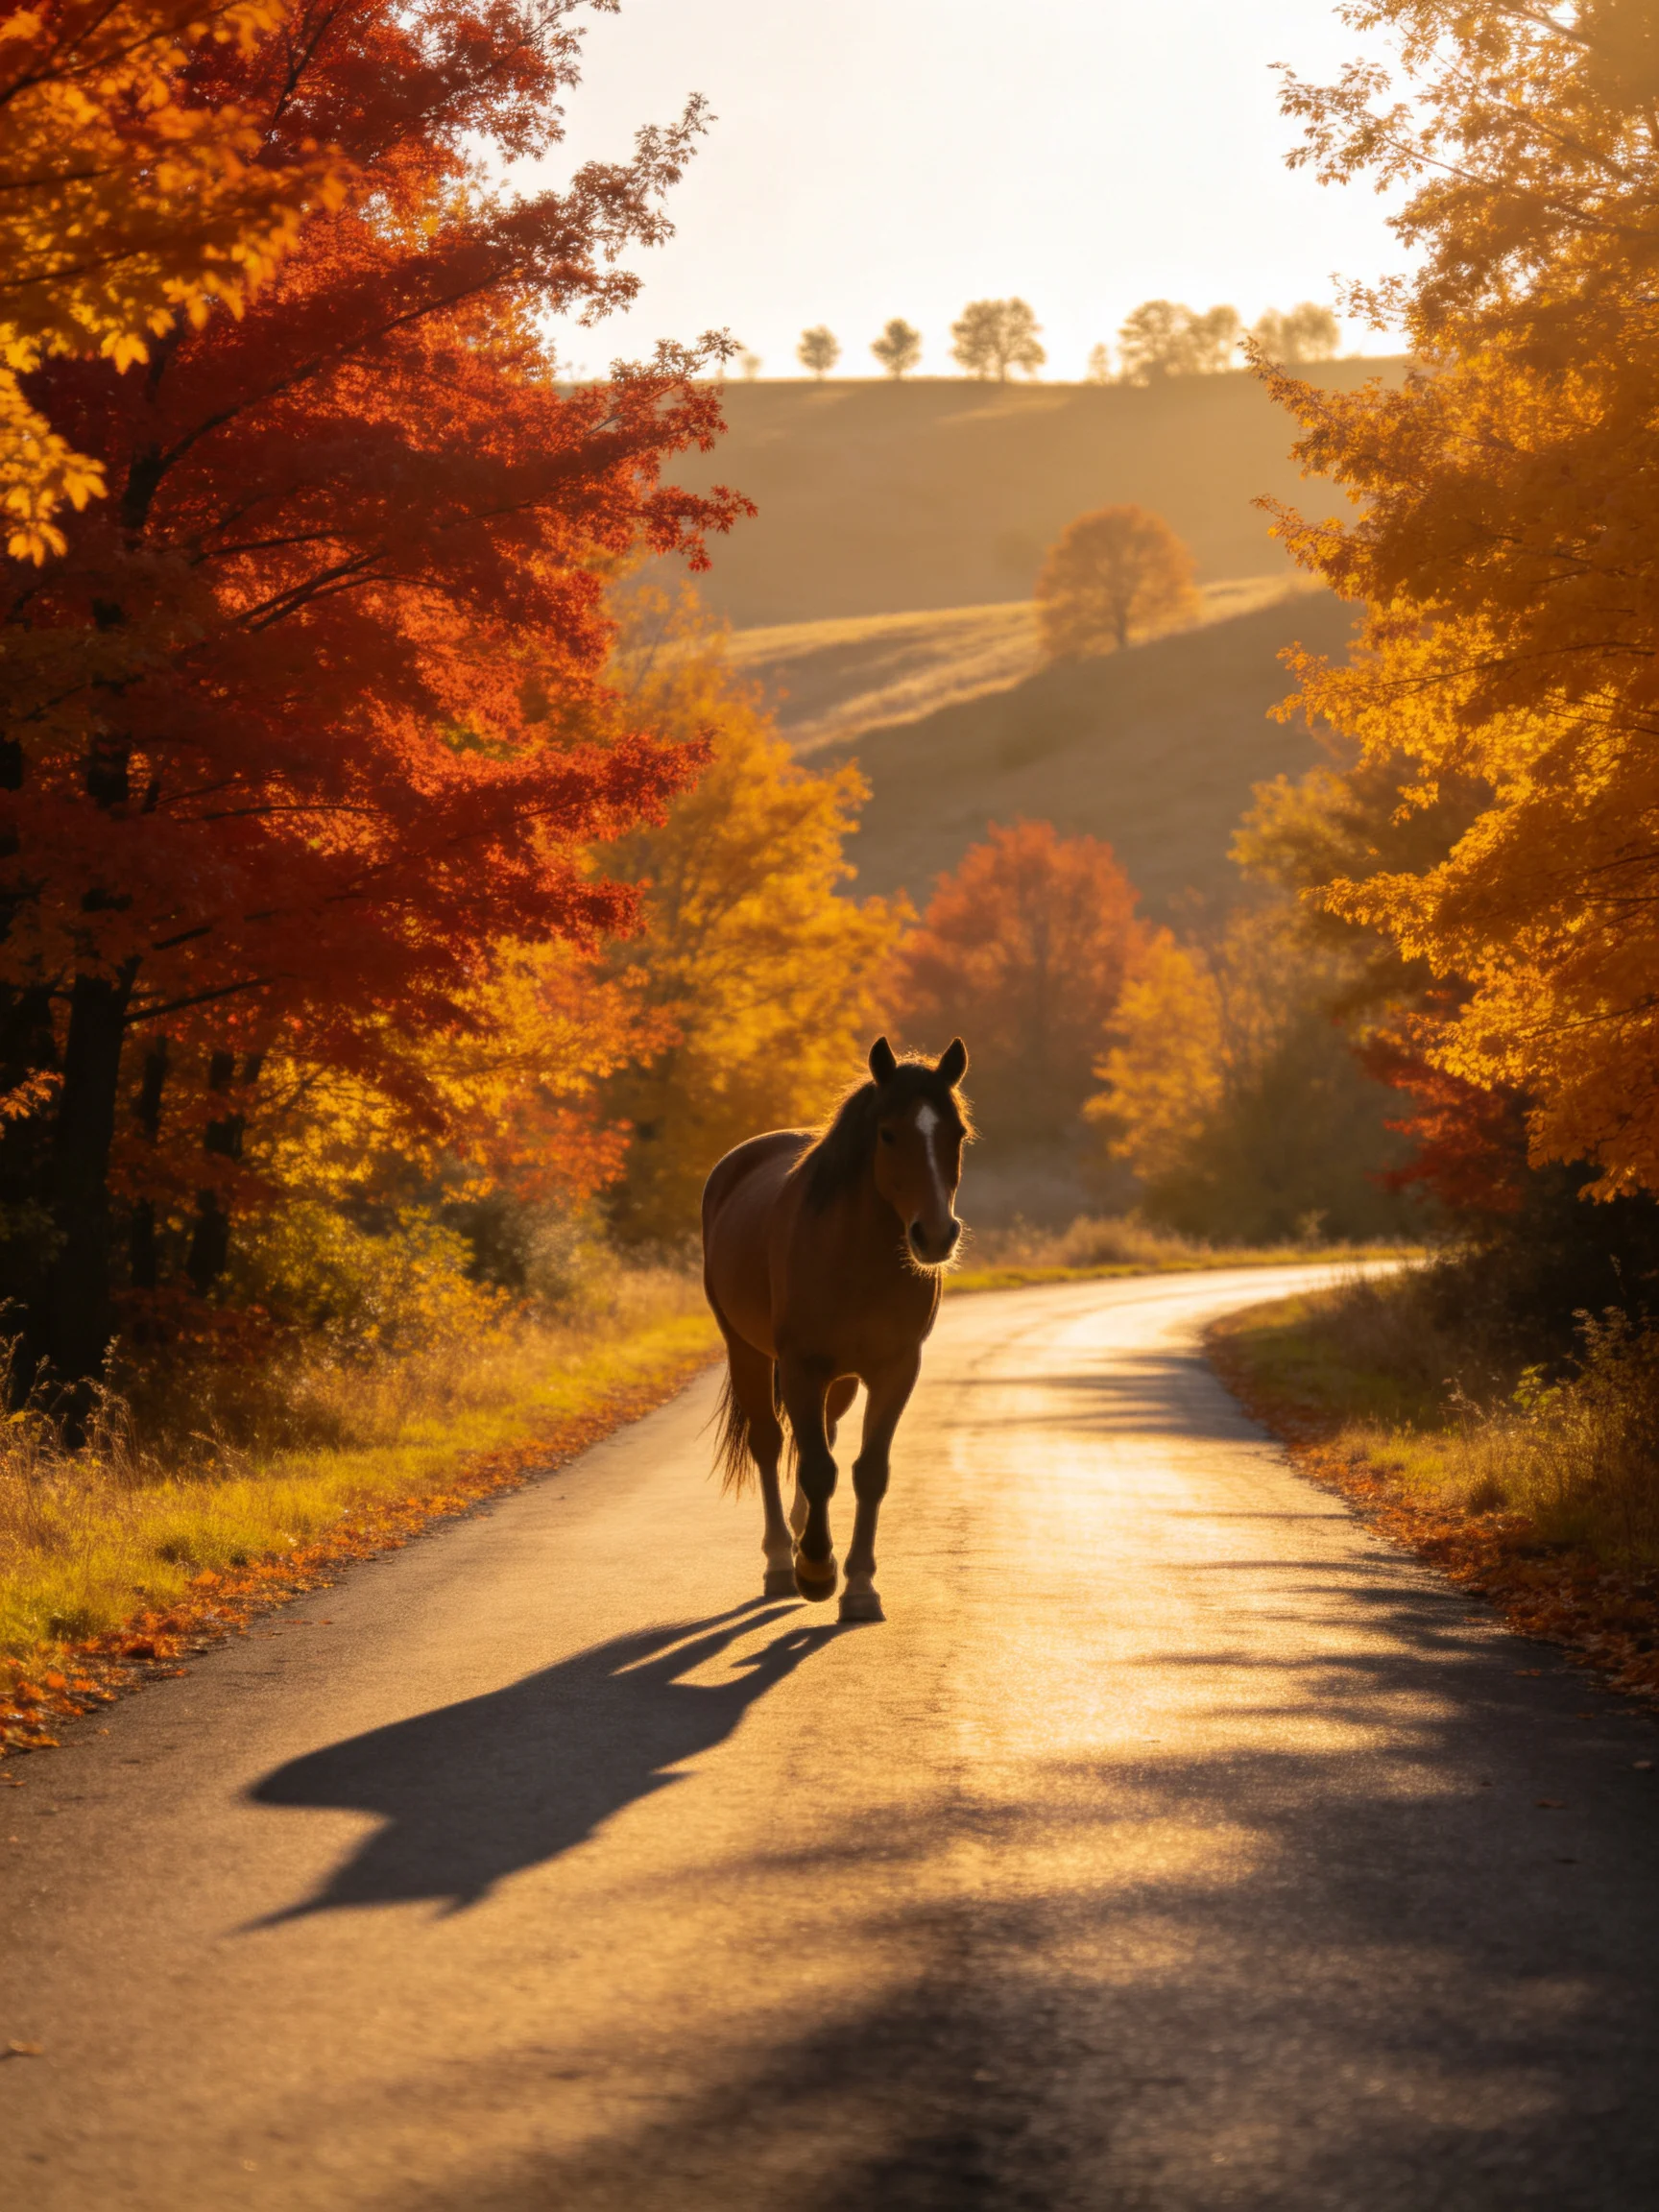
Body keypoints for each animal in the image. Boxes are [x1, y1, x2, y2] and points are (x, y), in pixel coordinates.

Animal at [700, 1035, 970, 1624]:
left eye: (957, 1134)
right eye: (888, 1133)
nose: (936, 1235)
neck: (854, 1254)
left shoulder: (895, 1369)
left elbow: (868, 1471)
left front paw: (861, 1586)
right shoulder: (802, 1366)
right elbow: (818, 1468)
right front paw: (817, 1572)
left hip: (841, 1380)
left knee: (820, 1435)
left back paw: (802, 1533)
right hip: (747, 1352)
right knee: (770, 1443)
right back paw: (782, 1559)